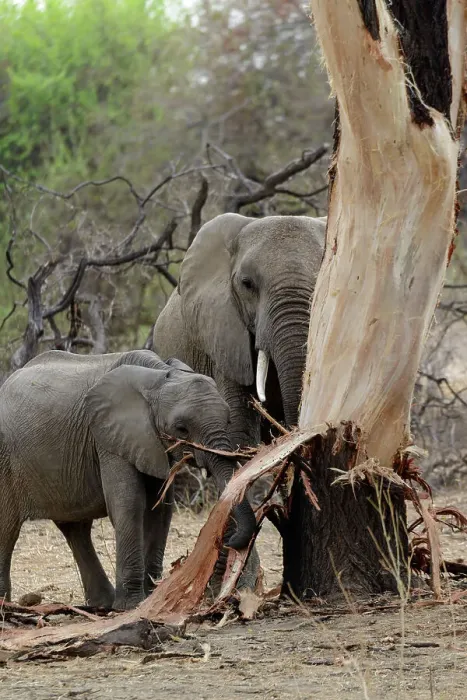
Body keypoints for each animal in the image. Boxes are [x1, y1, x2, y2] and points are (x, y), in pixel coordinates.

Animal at [0, 349, 257, 610]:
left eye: (228, 421)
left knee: (76, 529)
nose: (229, 541)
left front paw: (150, 598)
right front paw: (131, 606)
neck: (158, 377)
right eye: (181, 428)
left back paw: (101, 604)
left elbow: (159, 511)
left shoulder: (148, 441)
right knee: (8, 529)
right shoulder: (108, 437)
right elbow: (129, 503)